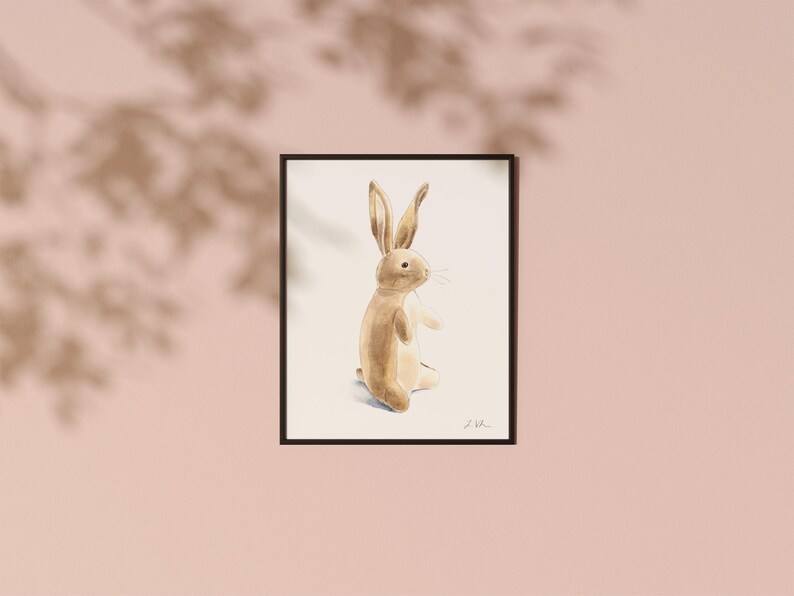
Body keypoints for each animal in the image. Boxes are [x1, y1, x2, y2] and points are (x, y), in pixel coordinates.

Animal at [356, 180, 443, 412]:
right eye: (405, 264)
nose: (427, 271)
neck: (399, 292)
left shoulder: (418, 307)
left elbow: (426, 314)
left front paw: (439, 324)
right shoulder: (395, 312)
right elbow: (402, 324)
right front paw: (407, 338)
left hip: (426, 373)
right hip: (392, 387)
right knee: (397, 399)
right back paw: (401, 405)